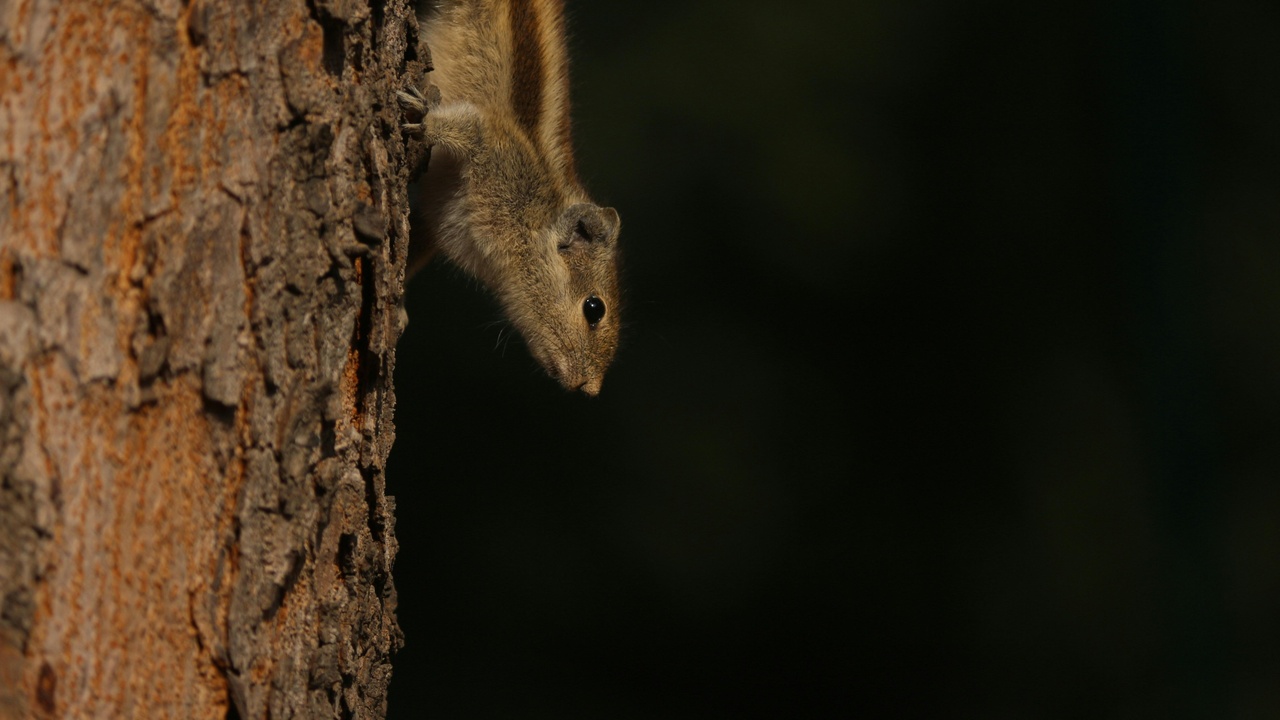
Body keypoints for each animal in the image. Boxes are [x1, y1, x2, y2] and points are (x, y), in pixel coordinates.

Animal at [400, 0, 622, 396]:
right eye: (594, 308)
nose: (590, 389)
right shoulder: (499, 152)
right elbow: (469, 125)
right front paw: (424, 114)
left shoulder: (439, 221)